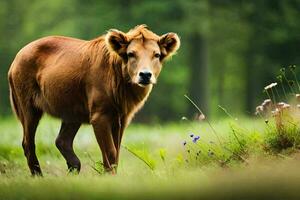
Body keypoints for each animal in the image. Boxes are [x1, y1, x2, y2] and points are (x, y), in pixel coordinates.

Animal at [7, 24, 180, 175]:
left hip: (73, 110)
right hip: (28, 105)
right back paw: (39, 175)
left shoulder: (121, 117)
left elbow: (116, 152)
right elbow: (110, 151)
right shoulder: (100, 115)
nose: (145, 75)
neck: (123, 87)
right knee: (28, 143)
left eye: (156, 54)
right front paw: (109, 176)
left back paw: (74, 167)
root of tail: (16, 57)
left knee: (62, 140)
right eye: (131, 54)